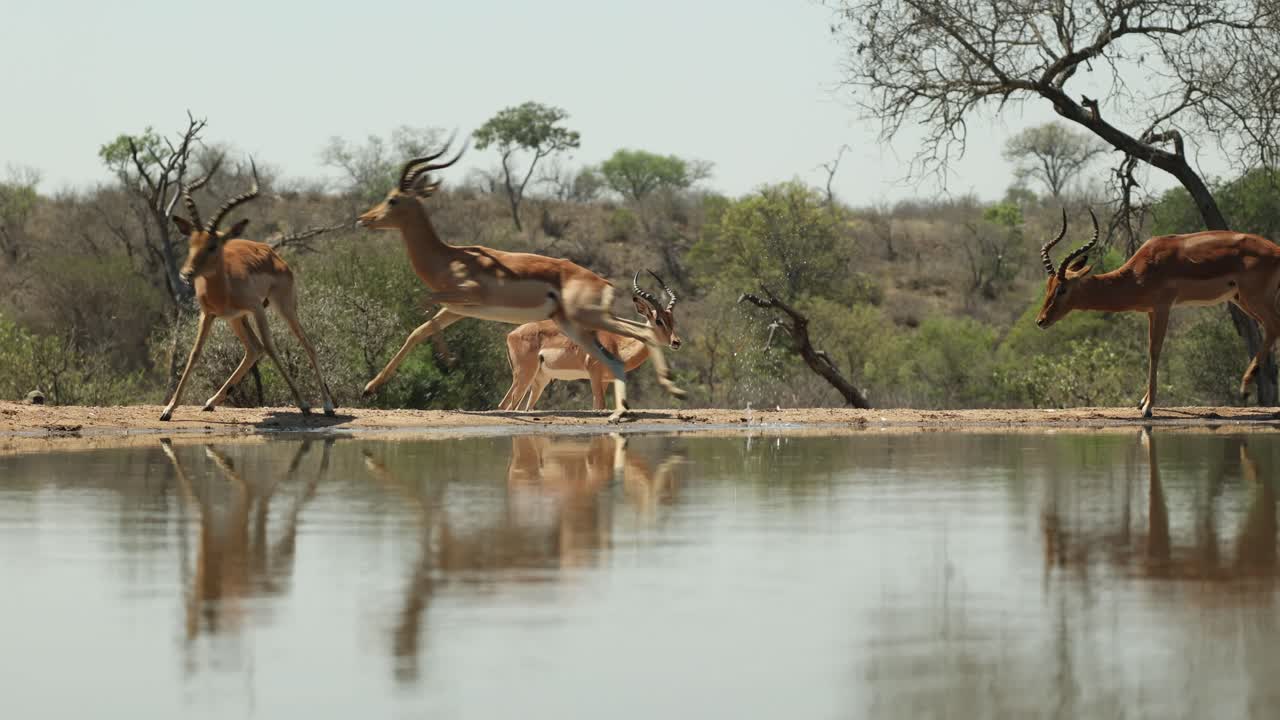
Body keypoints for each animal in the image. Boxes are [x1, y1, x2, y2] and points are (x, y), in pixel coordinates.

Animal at [160, 162, 335, 421]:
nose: (186, 273)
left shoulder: (255, 309)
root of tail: (273, 254)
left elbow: (271, 348)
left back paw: (328, 406)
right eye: (191, 243)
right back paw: (210, 402)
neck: (224, 287)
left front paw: (303, 403)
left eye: (213, 246)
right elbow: (194, 353)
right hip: (236, 319)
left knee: (305, 344)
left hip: (283, 307)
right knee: (253, 349)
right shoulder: (208, 314)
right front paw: (168, 410)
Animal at [498, 270, 681, 413]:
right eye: (658, 321)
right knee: (506, 405)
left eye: (672, 320)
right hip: (524, 375)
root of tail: (510, 335)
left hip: (539, 380)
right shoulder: (595, 375)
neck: (617, 345)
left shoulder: (606, 380)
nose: (676, 342)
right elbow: (600, 406)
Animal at [1036, 209, 1280, 418]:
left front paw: (1148, 407)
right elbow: (1150, 349)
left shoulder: (1163, 307)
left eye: (1062, 288)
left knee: (1273, 326)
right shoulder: (1151, 312)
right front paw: (1143, 402)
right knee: (1272, 329)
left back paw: (1245, 388)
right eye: (1048, 286)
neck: (1139, 272)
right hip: (1242, 299)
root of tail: (1276, 250)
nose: (1041, 320)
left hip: (1254, 298)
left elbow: (1155, 350)